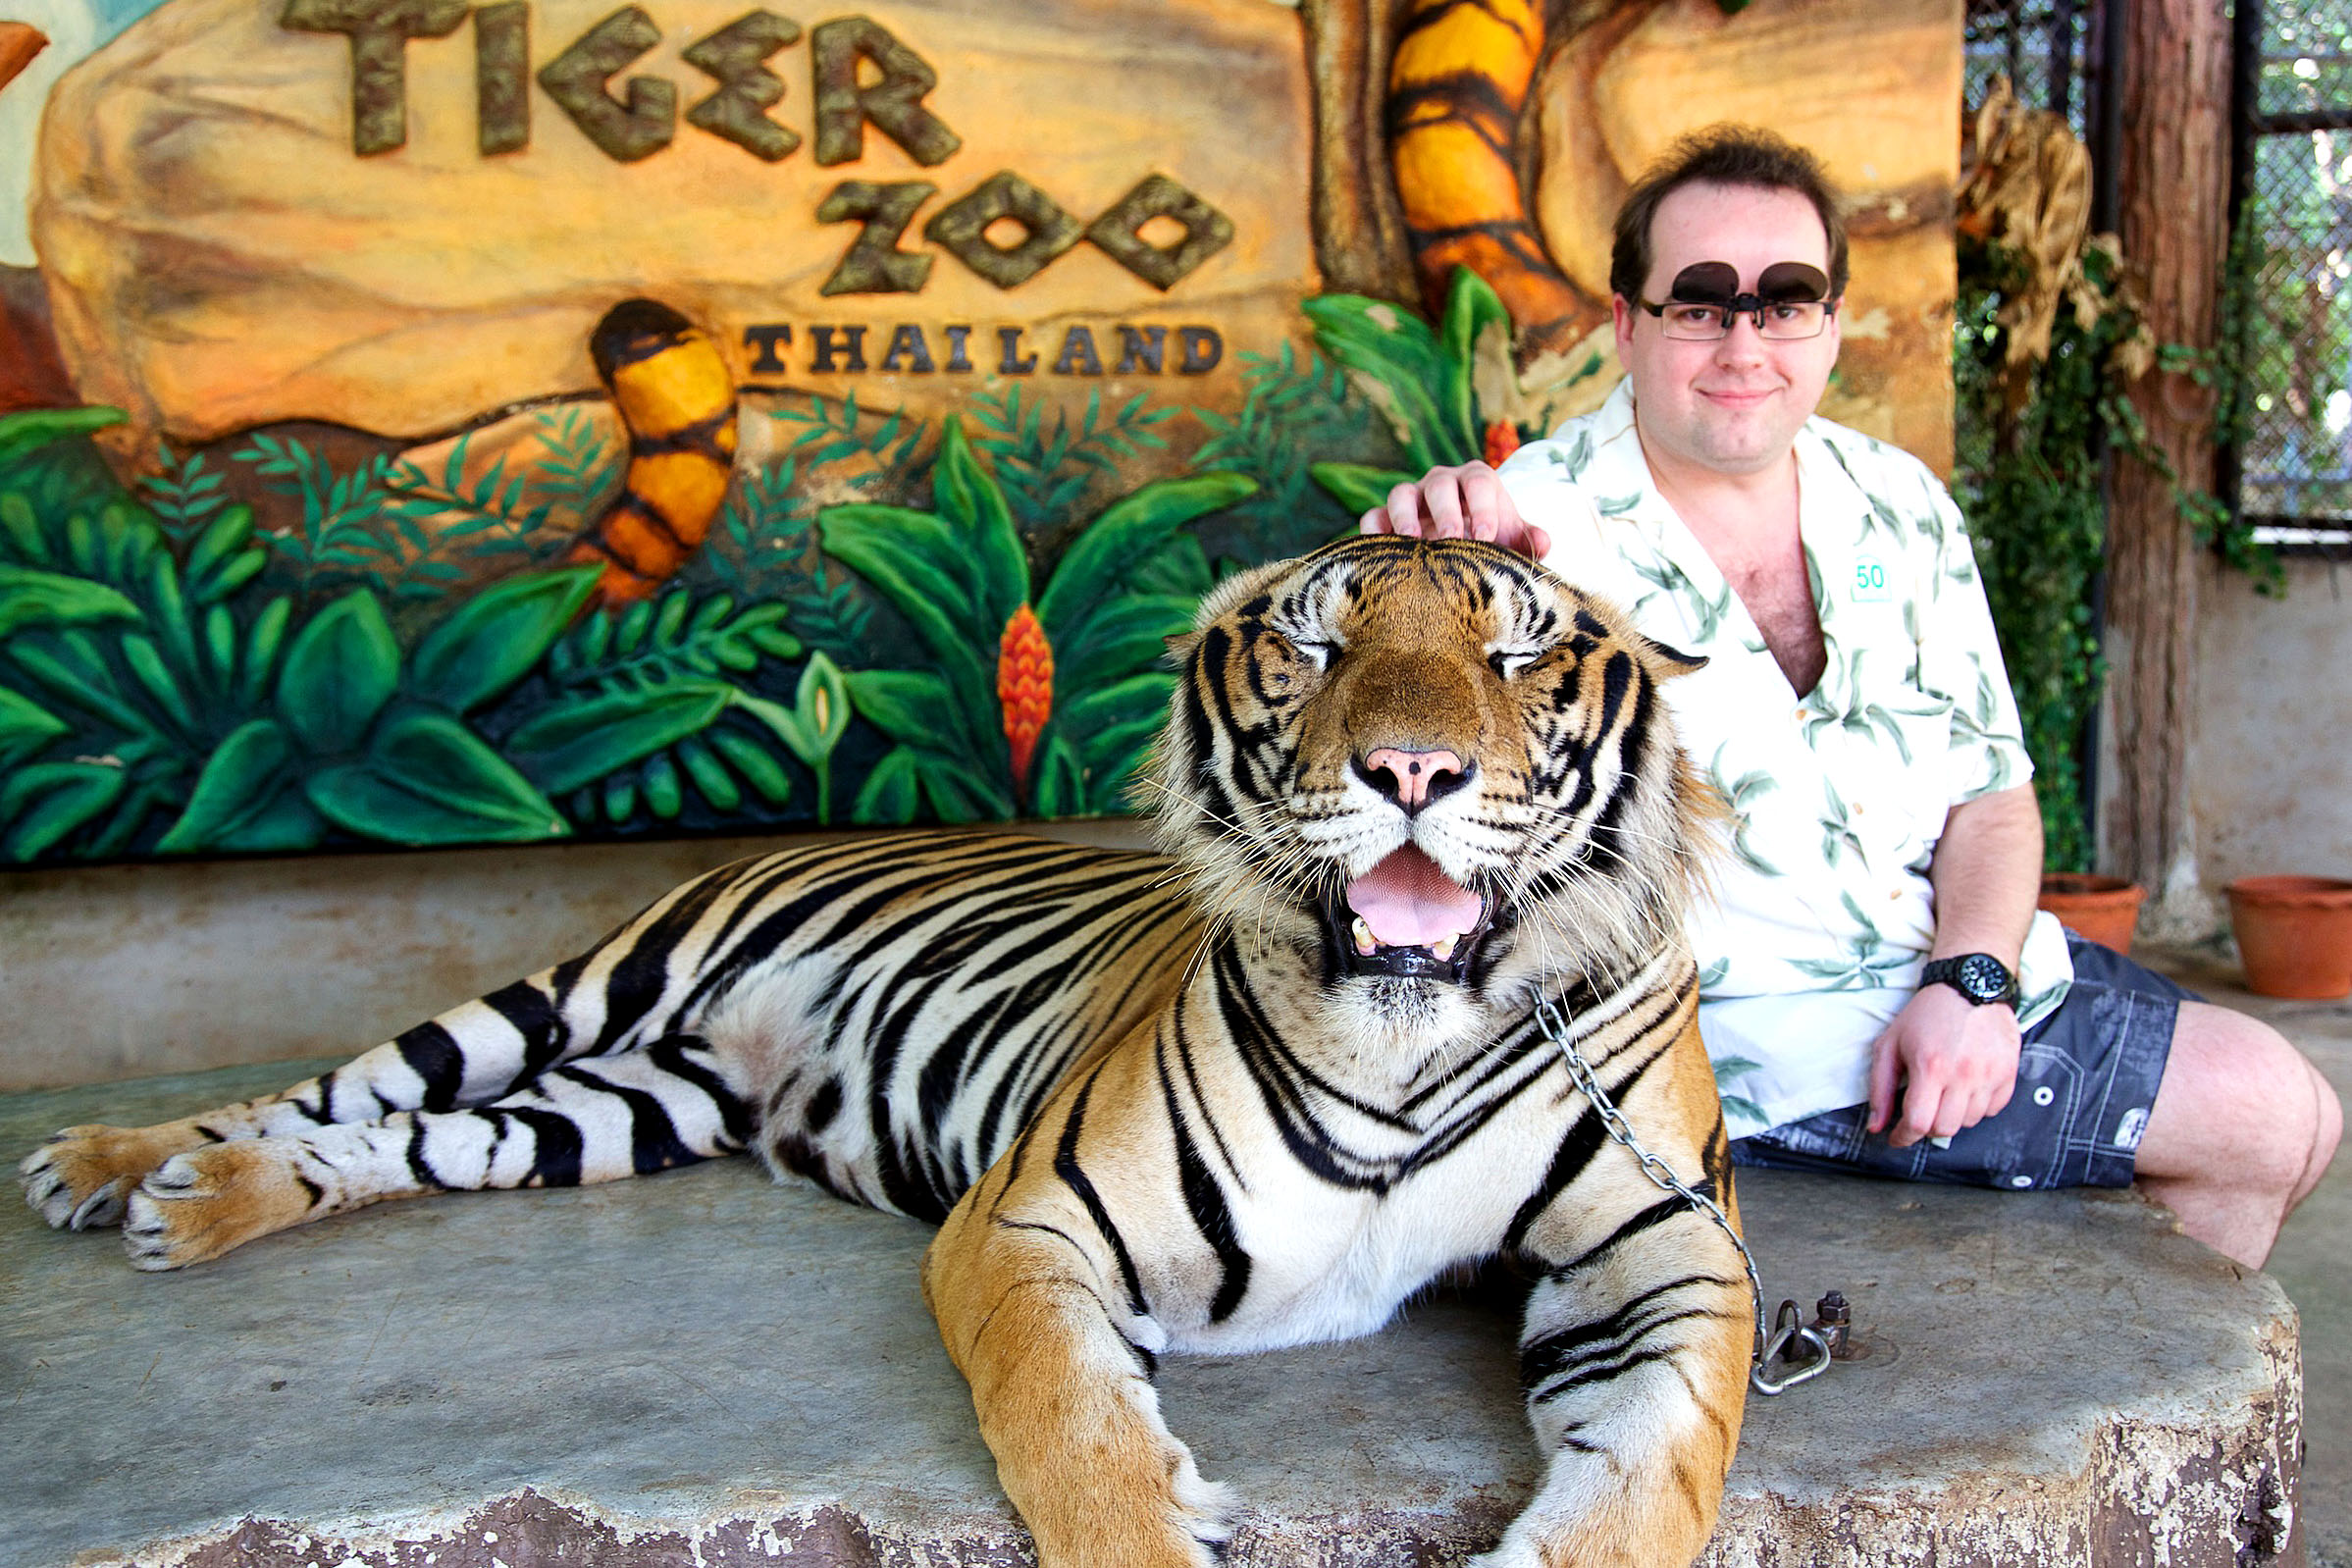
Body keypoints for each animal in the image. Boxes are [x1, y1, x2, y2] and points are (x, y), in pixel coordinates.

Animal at [18, 533, 1750, 1560]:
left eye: (1514, 658)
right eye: (1314, 652)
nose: (1410, 769)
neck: (1406, 1041)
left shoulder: (1671, 1253)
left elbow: (1656, 1463)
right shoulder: (1031, 1219)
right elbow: (1072, 1421)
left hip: (616, 1107)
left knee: (402, 1142)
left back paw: (192, 1202)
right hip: (578, 989)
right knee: (327, 1090)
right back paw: (121, 1170)